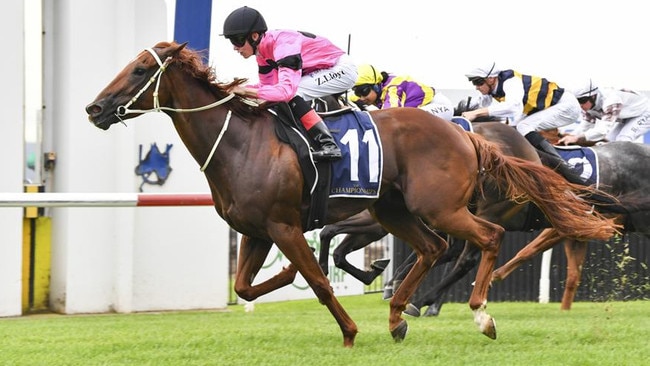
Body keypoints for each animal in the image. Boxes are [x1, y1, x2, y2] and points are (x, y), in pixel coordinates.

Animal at [86, 41, 616, 344]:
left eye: (139, 71)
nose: (95, 108)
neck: (241, 142)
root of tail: (466, 134)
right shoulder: (256, 230)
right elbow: (246, 286)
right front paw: (292, 280)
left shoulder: (283, 224)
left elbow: (319, 282)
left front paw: (348, 330)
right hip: (394, 211)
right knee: (434, 248)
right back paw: (399, 314)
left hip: (438, 206)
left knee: (483, 239)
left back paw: (478, 313)